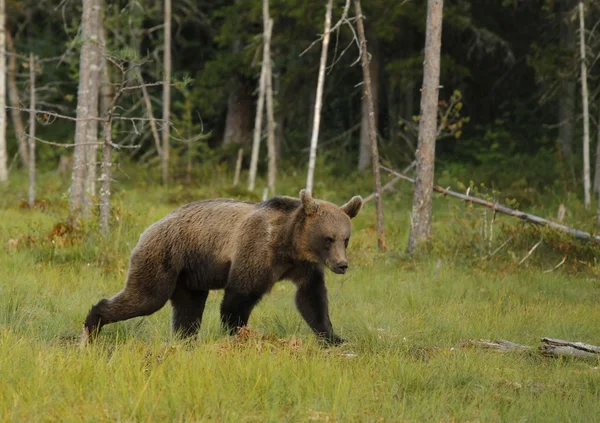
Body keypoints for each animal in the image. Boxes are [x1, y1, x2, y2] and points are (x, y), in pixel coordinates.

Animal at [79, 190, 360, 346]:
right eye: (328, 238)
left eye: (345, 238)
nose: (341, 264)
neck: (289, 244)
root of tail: (151, 227)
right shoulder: (256, 250)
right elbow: (239, 297)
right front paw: (237, 334)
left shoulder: (304, 267)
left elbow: (311, 299)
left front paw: (334, 337)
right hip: (164, 255)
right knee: (146, 297)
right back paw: (93, 323)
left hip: (189, 277)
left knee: (187, 310)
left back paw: (185, 339)